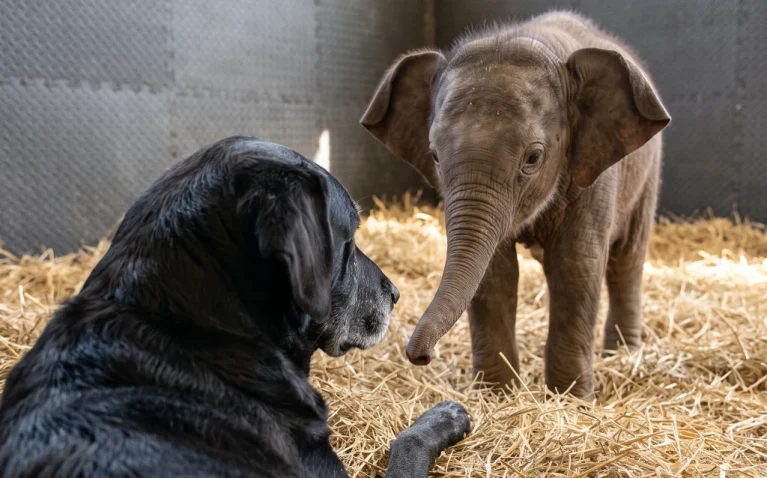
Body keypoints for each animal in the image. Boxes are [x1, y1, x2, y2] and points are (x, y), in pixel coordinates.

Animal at [360, 11, 670, 399]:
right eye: (434, 156)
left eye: (533, 158)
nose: (420, 356)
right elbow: (495, 274)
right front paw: (497, 396)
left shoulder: (595, 177)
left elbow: (575, 266)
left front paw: (570, 400)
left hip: (647, 174)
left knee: (626, 260)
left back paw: (624, 355)